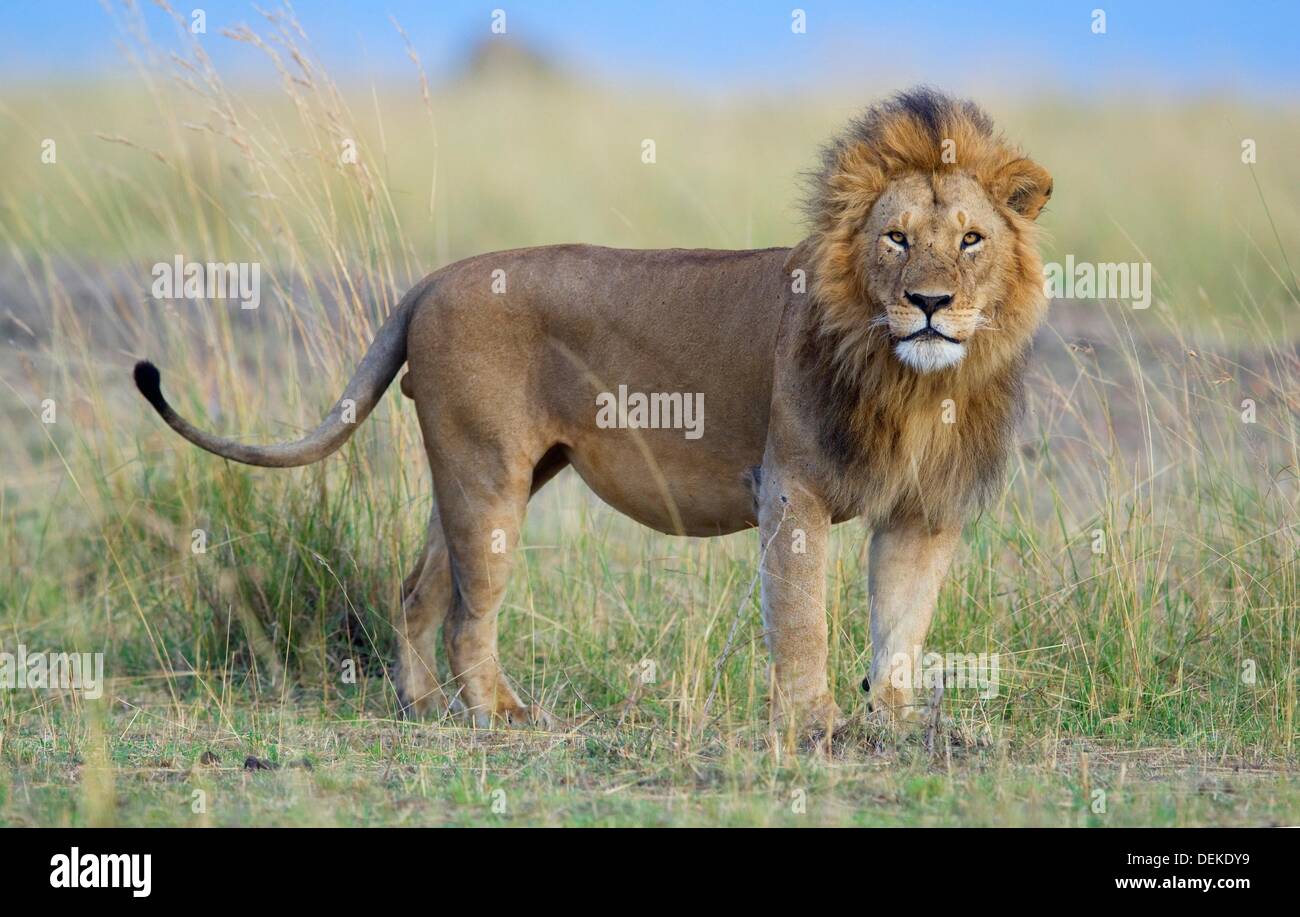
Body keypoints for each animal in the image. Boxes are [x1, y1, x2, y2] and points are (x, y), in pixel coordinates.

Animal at [134, 83, 1045, 728]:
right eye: (896, 238)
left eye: (971, 240)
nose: (930, 303)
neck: (915, 384)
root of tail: (433, 277)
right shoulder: (792, 487)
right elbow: (801, 617)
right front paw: (817, 722)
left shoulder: (925, 509)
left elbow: (903, 622)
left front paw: (894, 720)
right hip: (490, 473)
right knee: (468, 611)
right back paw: (498, 712)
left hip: (484, 474)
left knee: (418, 589)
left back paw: (421, 704)